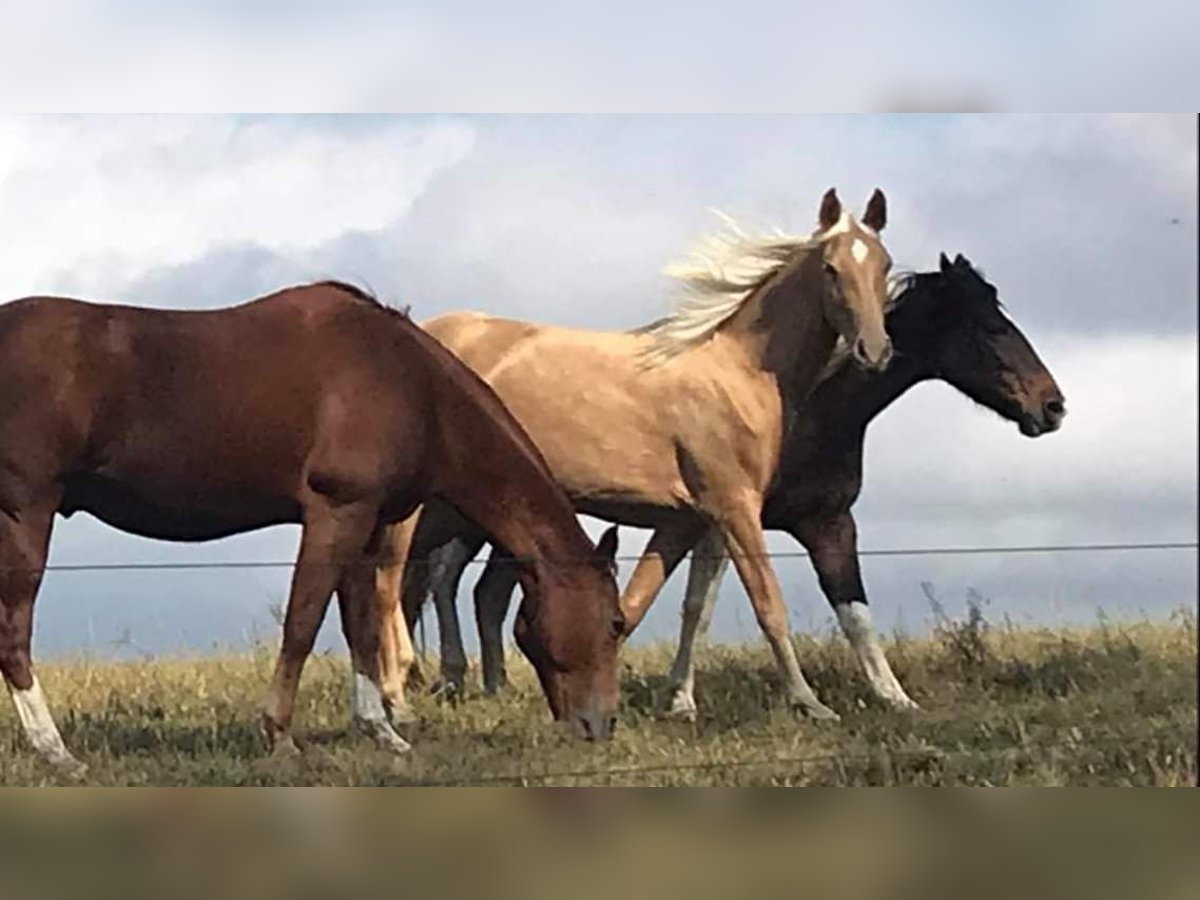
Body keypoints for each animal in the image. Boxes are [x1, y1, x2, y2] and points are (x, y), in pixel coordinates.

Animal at [0, 282, 619, 777]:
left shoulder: (368, 523)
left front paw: (382, 730)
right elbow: (303, 623)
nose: (601, 725)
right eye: (615, 622)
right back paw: (57, 752)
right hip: (27, 513)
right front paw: (278, 734)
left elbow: (361, 628)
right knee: (15, 635)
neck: (409, 381)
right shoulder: (336, 512)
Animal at [374, 187, 892, 724]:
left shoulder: (696, 521)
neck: (737, 372)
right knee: (391, 578)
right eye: (831, 268)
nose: (874, 350)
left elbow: (672, 605)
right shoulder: (737, 509)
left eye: (884, 264)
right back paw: (399, 696)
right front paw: (810, 703)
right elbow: (768, 604)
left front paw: (675, 701)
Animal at [415, 254, 1070, 710]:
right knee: (435, 581)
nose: (1053, 406)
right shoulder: (721, 520)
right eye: (988, 326)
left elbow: (841, 607)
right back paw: (449, 678)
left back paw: (487, 684)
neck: (804, 403)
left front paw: (893, 697)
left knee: (476, 590)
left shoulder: (823, 520)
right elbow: (689, 604)